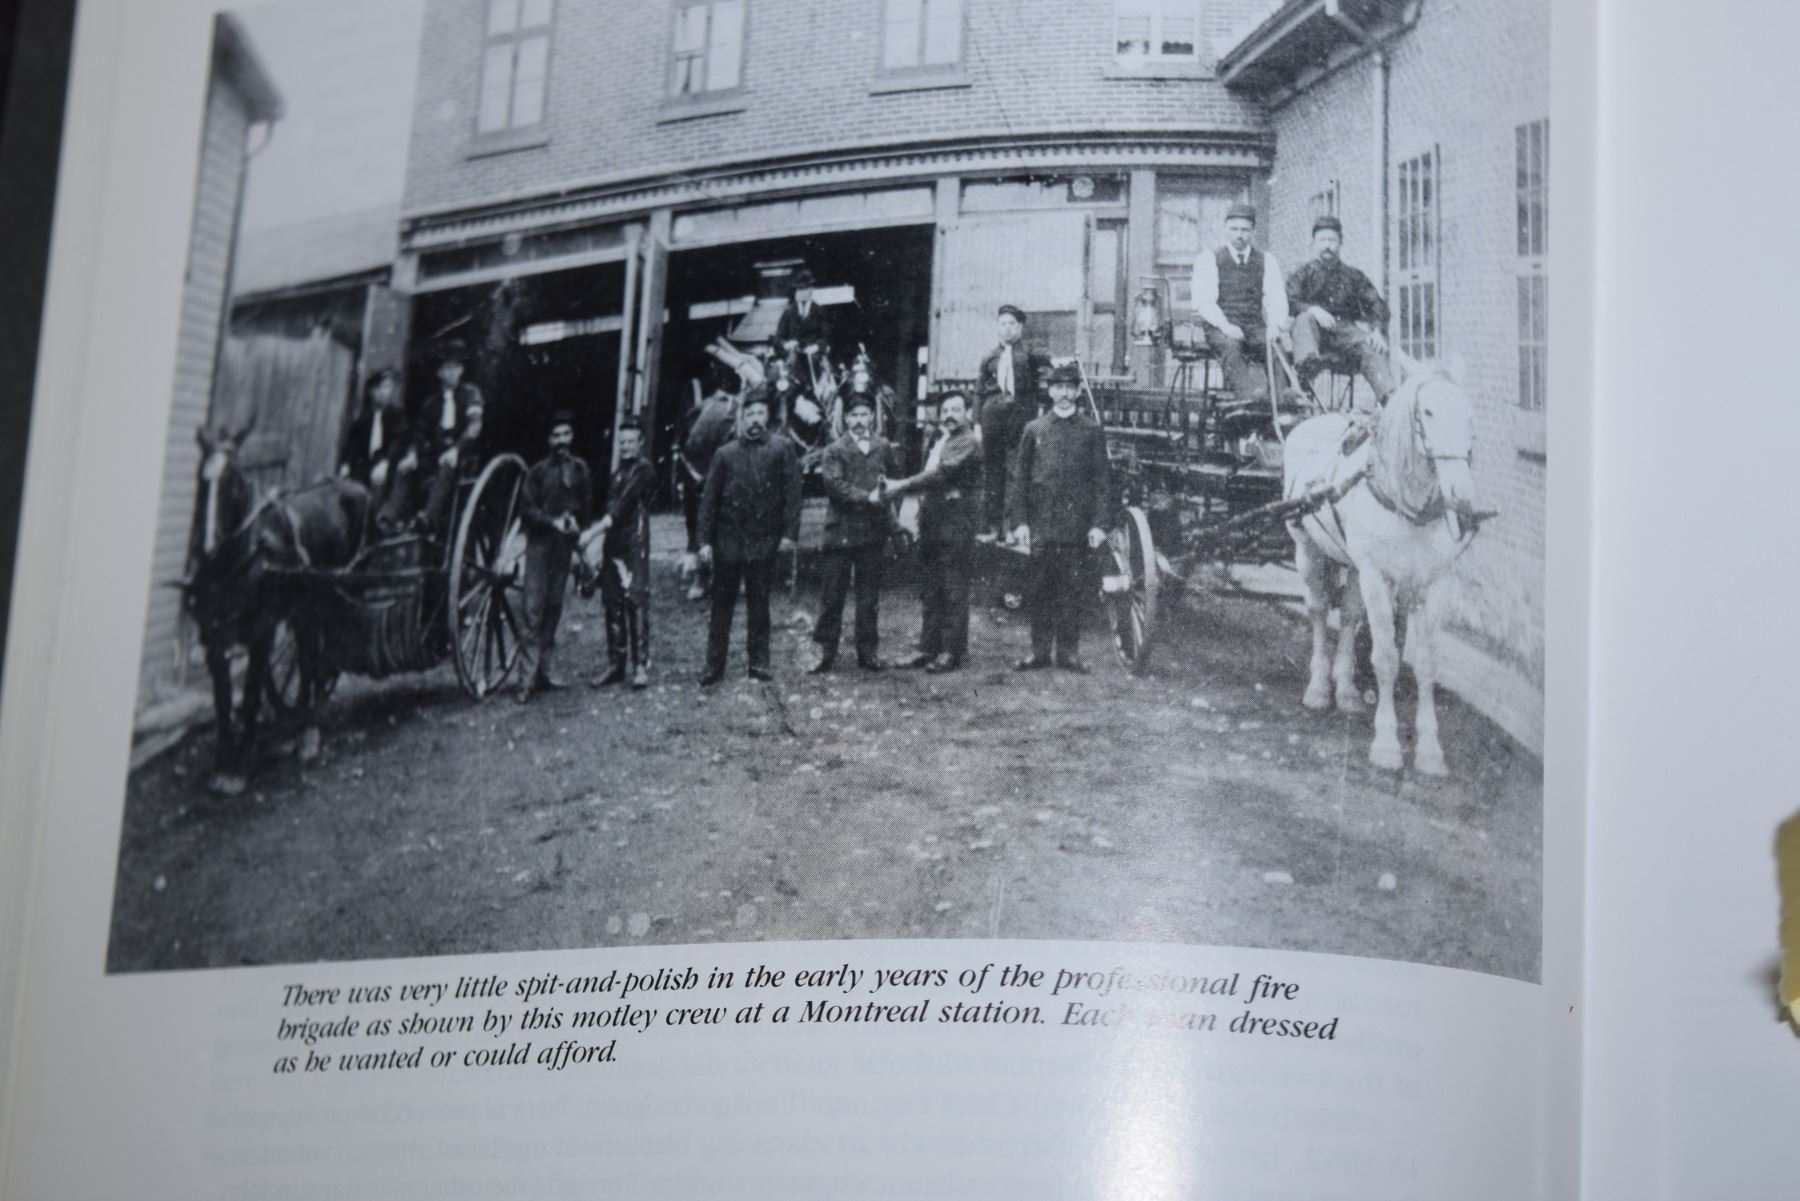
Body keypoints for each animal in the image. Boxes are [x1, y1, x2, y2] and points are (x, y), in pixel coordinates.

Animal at [184, 422, 372, 793]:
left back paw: (310, 733)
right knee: (307, 659)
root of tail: (351, 484)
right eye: (200, 479)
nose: (205, 547)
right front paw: (222, 764)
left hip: (328, 599)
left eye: (232, 481)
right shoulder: (215, 635)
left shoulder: (262, 630)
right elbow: (222, 700)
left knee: (320, 662)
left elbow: (251, 696)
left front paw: (240, 767)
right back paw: (297, 725)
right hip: (303, 609)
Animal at [1281, 361, 1481, 776]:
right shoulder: (1378, 577)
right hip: (1307, 549)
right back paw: (1318, 687)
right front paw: (1387, 744)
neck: (1407, 504)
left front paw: (1430, 750)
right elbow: (1386, 658)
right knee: (1320, 611)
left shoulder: (1432, 584)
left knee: (1349, 615)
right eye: (1427, 412)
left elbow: (1426, 663)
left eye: (1469, 415)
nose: (1462, 498)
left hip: (1353, 562)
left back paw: (1345, 690)